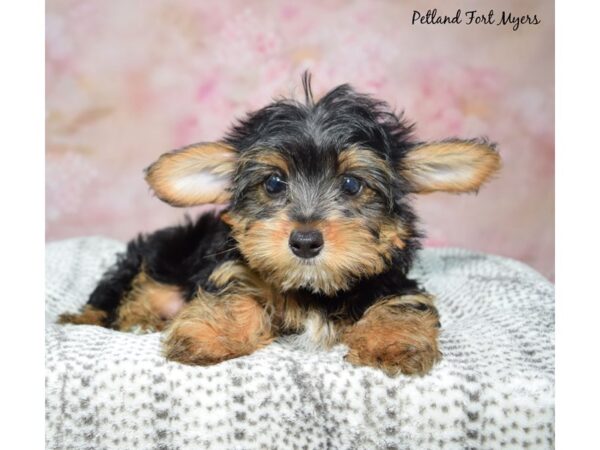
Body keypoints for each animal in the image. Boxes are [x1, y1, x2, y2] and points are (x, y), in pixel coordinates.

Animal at [58, 74, 500, 376]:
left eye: (352, 184)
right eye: (273, 183)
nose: (304, 241)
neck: (311, 286)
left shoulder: (388, 278)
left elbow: (402, 302)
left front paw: (392, 343)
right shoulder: (231, 267)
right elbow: (235, 295)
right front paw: (212, 334)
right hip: (155, 254)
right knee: (113, 293)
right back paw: (92, 319)